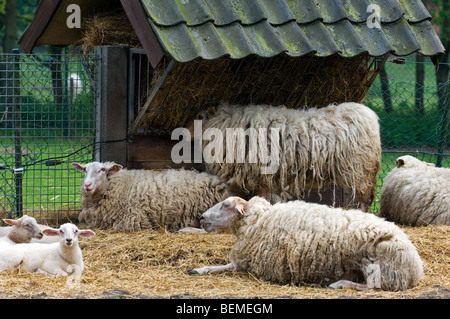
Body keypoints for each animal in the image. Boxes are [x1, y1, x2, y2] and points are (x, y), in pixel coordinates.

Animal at [185, 102, 382, 212]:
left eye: (200, 116)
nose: (182, 134)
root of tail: (369, 116)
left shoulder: (260, 174)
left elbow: (261, 197)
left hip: (359, 170)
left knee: (364, 199)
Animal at [189, 196, 422, 292]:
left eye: (226, 205)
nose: (201, 217)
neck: (259, 220)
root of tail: (416, 267)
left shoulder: (253, 261)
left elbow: (227, 266)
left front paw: (199, 269)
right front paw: (198, 269)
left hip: (377, 265)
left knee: (373, 286)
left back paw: (338, 284)